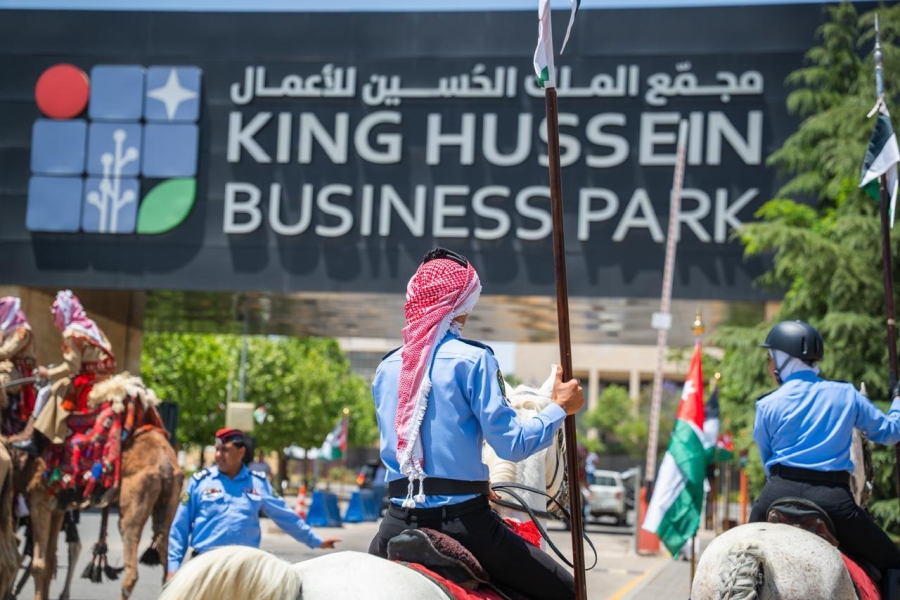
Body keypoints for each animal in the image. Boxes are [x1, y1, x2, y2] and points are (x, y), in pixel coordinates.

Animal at [6, 373, 183, 600]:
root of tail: (166, 464)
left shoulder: (38, 499)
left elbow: (39, 563)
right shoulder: (57, 507)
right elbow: (49, 562)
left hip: (133, 506)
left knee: (131, 573)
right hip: (169, 505)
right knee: (167, 563)